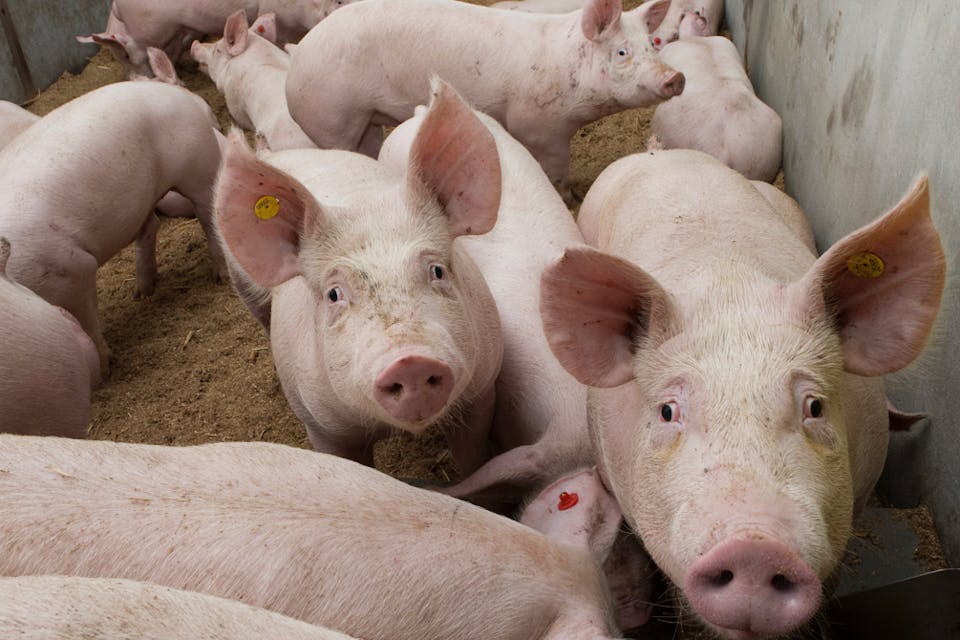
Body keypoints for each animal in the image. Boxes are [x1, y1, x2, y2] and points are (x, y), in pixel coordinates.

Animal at [0, 81, 227, 375]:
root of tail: (184, 95)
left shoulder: (68, 268)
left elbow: (86, 319)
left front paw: (105, 368)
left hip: (198, 164)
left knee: (208, 212)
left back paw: (220, 277)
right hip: (146, 196)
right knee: (149, 226)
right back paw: (142, 292)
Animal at [213, 78, 504, 473]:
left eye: (437, 271)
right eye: (334, 294)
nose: (409, 361)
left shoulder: (482, 389)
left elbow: (472, 455)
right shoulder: (322, 426)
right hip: (241, 282)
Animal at [286, 0, 684, 195]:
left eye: (651, 45)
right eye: (622, 52)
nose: (676, 78)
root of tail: (298, 56)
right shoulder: (541, 127)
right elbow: (555, 172)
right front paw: (568, 196)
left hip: (364, 120)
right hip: (333, 118)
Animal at [540, 149, 945, 638]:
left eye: (814, 406)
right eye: (668, 411)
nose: (754, 547)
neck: (727, 283)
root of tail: (659, 150)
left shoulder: (864, 490)